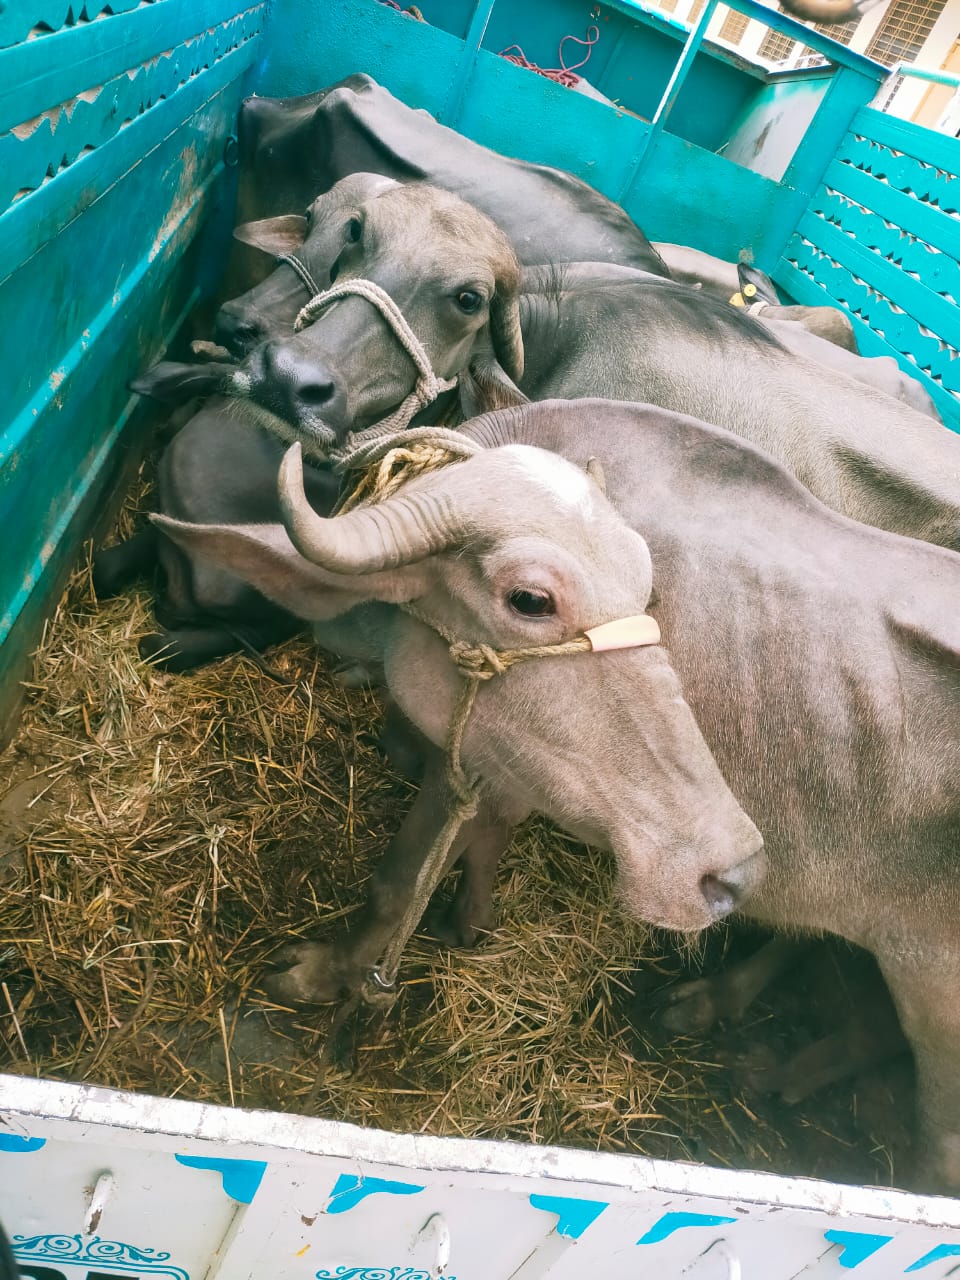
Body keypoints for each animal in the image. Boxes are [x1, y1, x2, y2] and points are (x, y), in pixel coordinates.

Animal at [158, 397, 960, 1193]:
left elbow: (399, 879)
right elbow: (464, 855)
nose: (730, 870)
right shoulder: (499, 771)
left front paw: (326, 973)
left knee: (936, 1133)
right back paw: (731, 1024)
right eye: (531, 600)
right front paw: (465, 923)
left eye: (645, 591)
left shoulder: (473, 763)